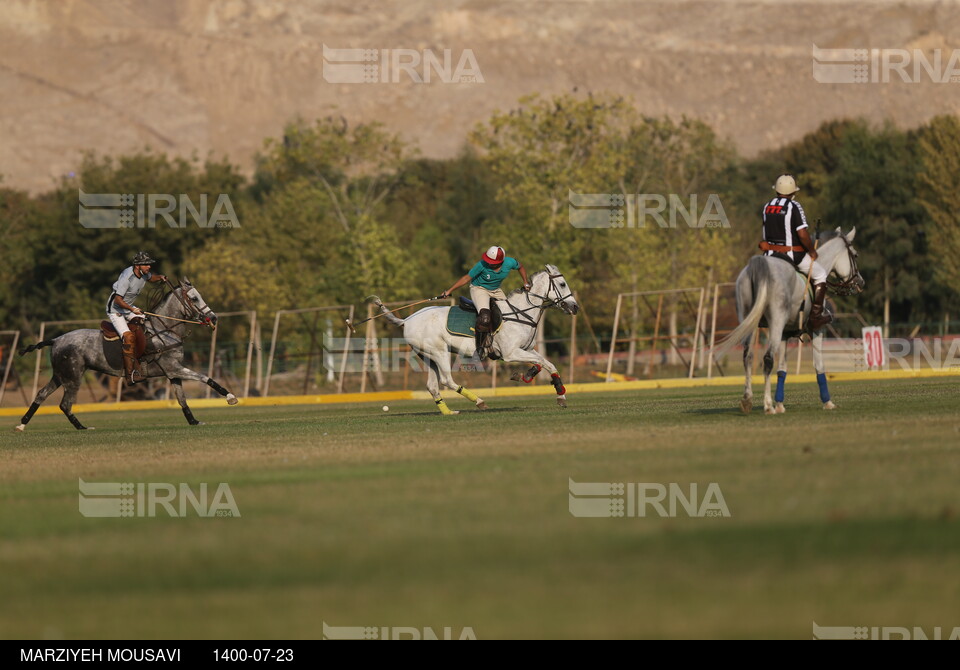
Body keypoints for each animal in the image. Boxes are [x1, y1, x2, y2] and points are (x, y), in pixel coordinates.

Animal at [376, 266, 580, 414]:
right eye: (562, 284)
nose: (575, 307)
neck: (520, 312)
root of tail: (406, 320)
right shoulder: (510, 353)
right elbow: (542, 362)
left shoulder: (526, 349)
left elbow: (546, 363)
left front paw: (558, 394)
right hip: (439, 351)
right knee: (447, 380)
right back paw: (479, 401)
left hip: (428, 356)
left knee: (432, 386)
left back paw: (448, 412)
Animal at [712, 230, 864, 414]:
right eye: (855, 255)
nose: (860, 282)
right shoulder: (817, 330)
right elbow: (819, 365)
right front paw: (828, 402)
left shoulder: (785, 334)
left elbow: (782, 369)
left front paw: (780, 404)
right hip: (776, 321)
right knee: (767, 359)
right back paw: (767, 405)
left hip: (749, 320)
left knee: (747, 356)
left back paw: (748, 400)